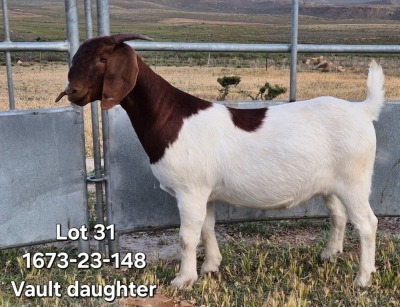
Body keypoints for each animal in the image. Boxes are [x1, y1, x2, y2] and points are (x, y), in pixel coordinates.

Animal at [56, 34, 384, 292]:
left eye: (102, 58)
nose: (73, 92)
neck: (170, 117)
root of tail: (363, 110)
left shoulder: (189, 191)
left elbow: (187, 237)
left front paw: (183, 280)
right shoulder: (205, 192)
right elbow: (207, 228)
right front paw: (210, 267)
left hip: (355, 180)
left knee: (367, 223)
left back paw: (363, 279)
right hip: (332, 184)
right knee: (339, 215)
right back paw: (329, 255)